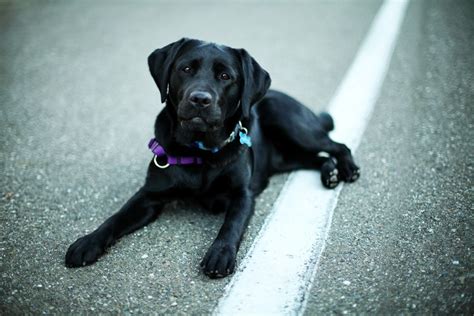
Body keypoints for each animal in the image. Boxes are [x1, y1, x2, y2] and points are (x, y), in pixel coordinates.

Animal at [64, 38, 360, 278]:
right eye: (185, 69)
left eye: (226, 76)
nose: (200, 99)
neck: (199, 151)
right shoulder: (148, 196)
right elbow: (116, 217)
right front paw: (88, 242)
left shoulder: (243, 195)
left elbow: (231, 225)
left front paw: (220, 254)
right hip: (286, 157)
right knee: (316, 157)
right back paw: (330, 173)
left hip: (290, 120)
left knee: (336, 145)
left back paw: (347, 168)